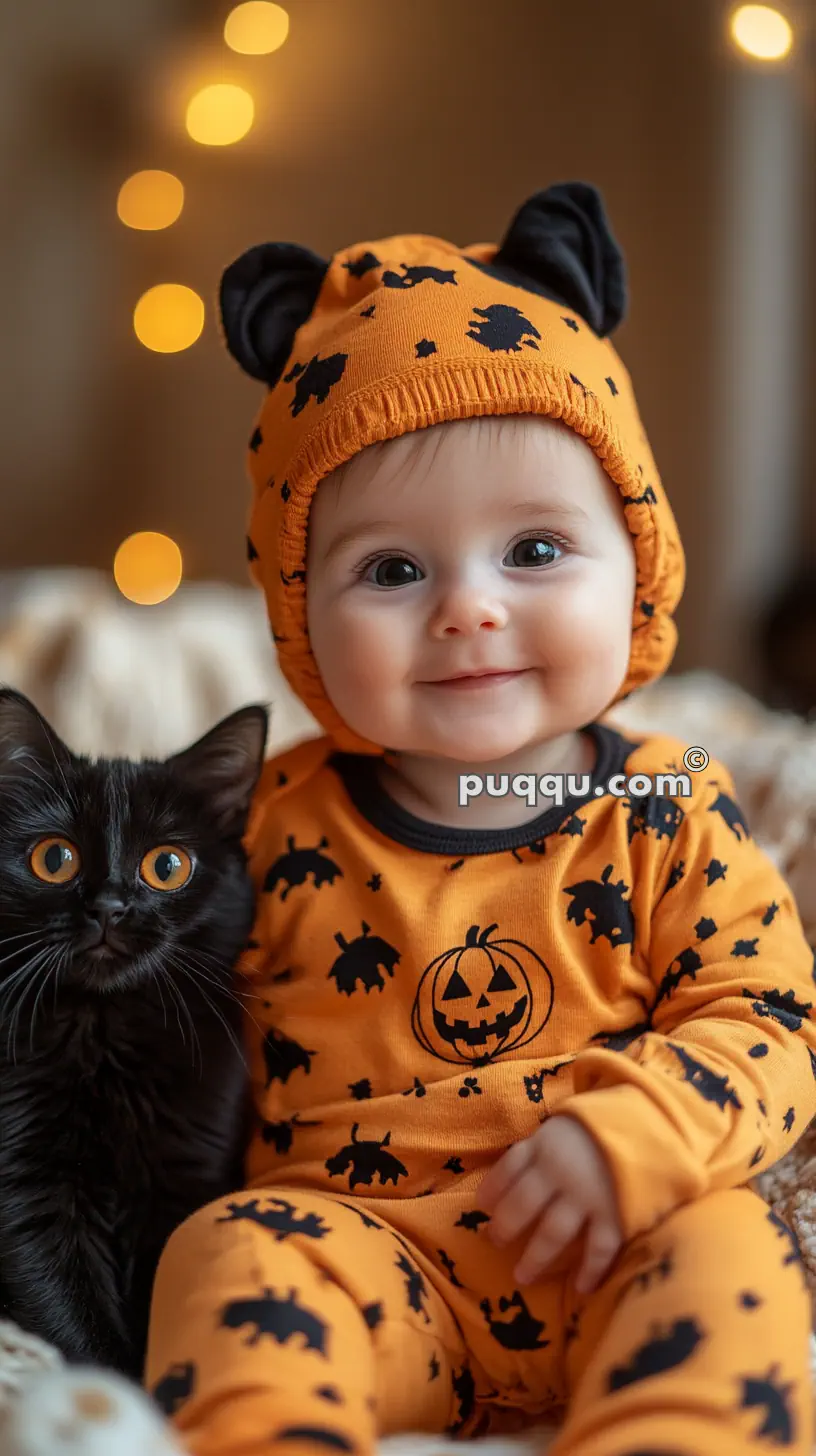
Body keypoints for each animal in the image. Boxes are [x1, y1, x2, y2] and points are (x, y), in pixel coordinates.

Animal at [0, 687, 269, 1380]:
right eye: (54, 858)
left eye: (167, 866)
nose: (109, 907)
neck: (106, 1030)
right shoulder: (31, 1187)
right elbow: (74, 1315)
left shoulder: (185, 1174)